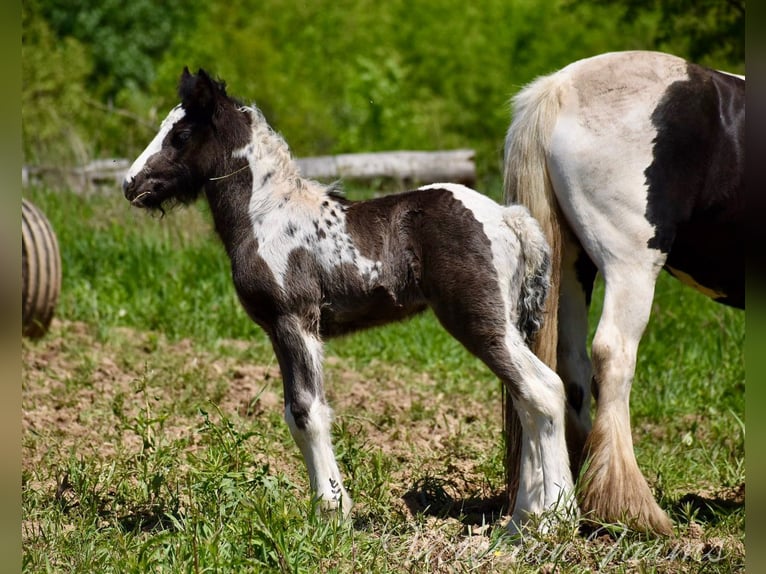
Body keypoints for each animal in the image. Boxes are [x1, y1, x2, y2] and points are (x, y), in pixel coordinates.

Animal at [121, 68, 576, 532]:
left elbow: (307, 412)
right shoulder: (276, 330)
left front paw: (331, 512)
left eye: (180, 134)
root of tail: (508, 217)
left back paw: (552, 519)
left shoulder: (296, 321)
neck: (267, 216)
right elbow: (293, 413)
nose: (131, 185)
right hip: (507, 325)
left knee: (542, 390)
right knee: (526, 402)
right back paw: (522, 519)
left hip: (482, 322)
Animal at [504, 49, 744, 536]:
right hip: (630, 266)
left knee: (569, 369)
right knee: (612, 358)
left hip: (572, 267)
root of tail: (562, 86)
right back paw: (627, 507)